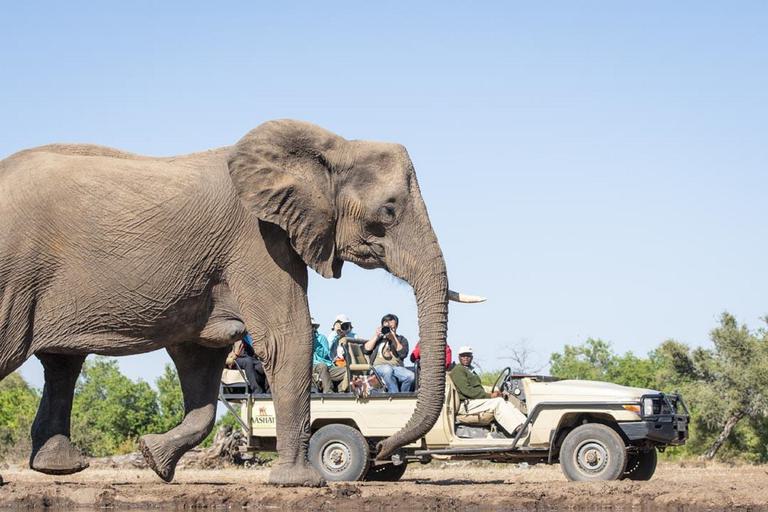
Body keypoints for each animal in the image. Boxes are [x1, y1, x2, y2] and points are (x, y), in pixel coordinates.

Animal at [0, 119, 478, 486]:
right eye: (389, 211)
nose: (385, 454)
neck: (330, 146)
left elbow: (200, 361)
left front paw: (154, 458)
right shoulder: (258, 240)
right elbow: (288, 339)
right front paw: (302, 483)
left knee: (63, 363)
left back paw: (60, 468)